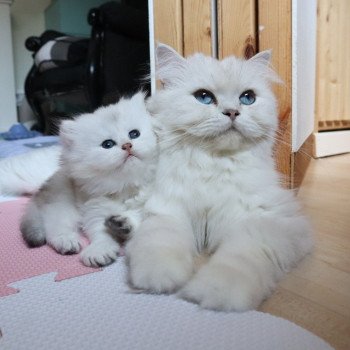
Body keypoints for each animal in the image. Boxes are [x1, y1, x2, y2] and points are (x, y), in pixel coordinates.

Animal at [20, 91, 157, 266]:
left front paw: (123, 224)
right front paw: (100, 250)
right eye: (107, 144)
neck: (125, 186)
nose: (127, 145)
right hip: (62, 205)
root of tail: (40, 193)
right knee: (54, 228)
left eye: (134, 134)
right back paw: (66, 241)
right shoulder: (94, 211)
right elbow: (101, 233)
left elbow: (138, 220)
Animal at [126, 44, 314, 312]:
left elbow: (237, 259)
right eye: (204, 97)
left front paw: (217, 292)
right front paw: (159, 278)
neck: (215, 164)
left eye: (248, 98)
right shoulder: (167, 209)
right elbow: (159, 242)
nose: (232, 112)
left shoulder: (269, 222)